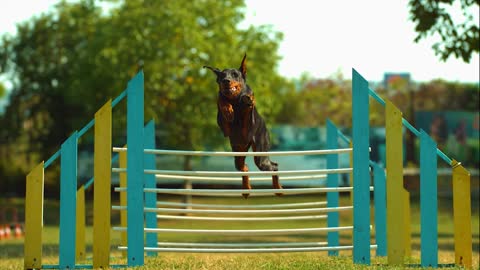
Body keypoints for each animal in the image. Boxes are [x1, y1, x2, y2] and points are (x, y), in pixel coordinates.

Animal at [202, 54, 282, 198]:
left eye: (235, 74)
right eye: (222, 75)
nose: (226, 81)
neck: (234, 101)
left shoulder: (248, 124)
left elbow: (246, 105)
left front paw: (247, 99)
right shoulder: (223, 125)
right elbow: (221, 99)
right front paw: (228, 110)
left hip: (261, 154)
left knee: (274, 166)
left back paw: (278, 189)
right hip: (238, 151)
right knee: (244, 167)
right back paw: (246, 189)